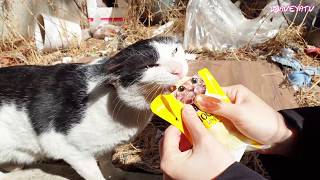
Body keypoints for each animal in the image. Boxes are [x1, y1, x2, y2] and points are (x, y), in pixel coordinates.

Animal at [0, 36, 189, 180]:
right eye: (149, 66)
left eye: (175, 51)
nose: (178, 70)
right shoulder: (69, 149)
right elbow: (94, 175)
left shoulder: (106, 145)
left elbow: (106, 161)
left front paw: (117, 174)